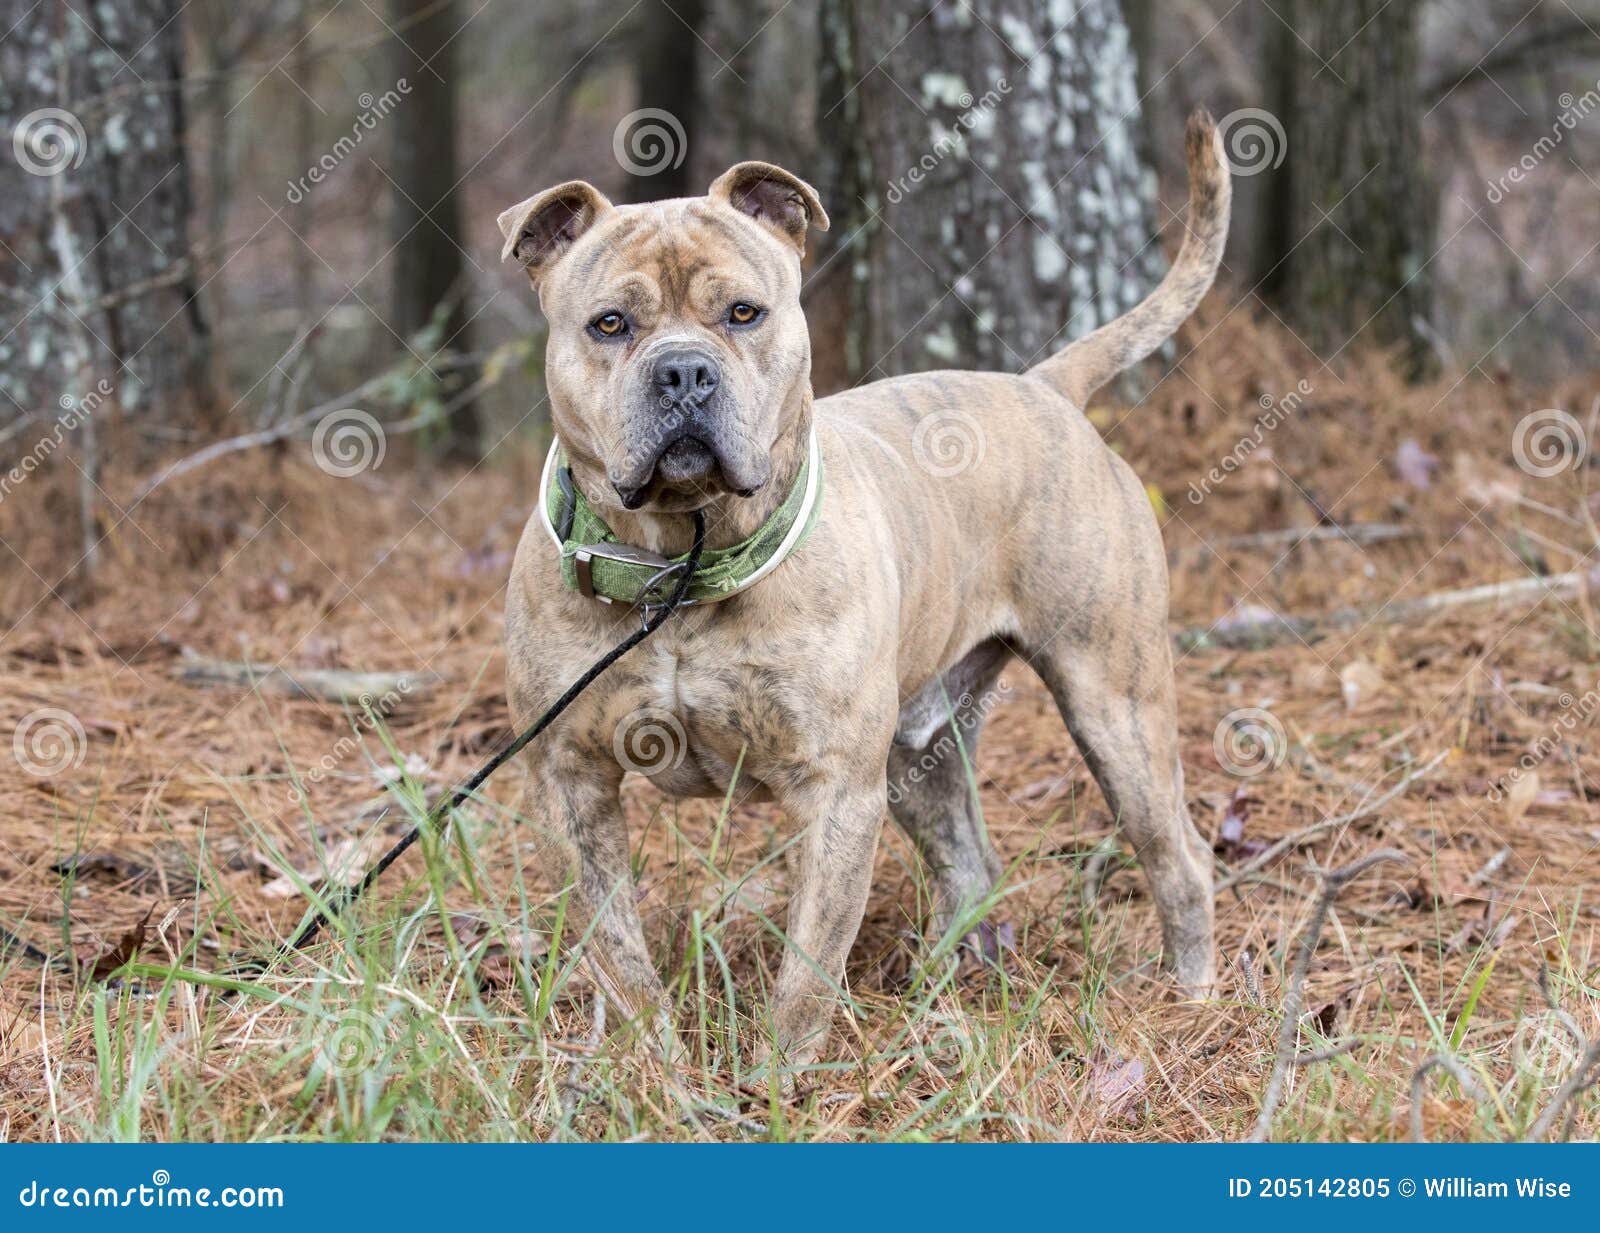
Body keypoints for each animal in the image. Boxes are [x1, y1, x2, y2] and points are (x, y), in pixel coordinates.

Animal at [499, 113, 1235, 1081]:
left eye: (744, 313)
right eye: (609, 324)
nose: (685, 372)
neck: (681, 562)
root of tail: (1043, 386)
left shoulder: (838, 792)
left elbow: (807, 968)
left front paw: (778, 1084)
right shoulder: (571, 783)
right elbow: (618, 952)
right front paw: (654, 1068)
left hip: (1115, 704)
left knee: (1177, 858)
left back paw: (1195, 1003)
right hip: (919, 751)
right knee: (969, 865)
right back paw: (934, 997)